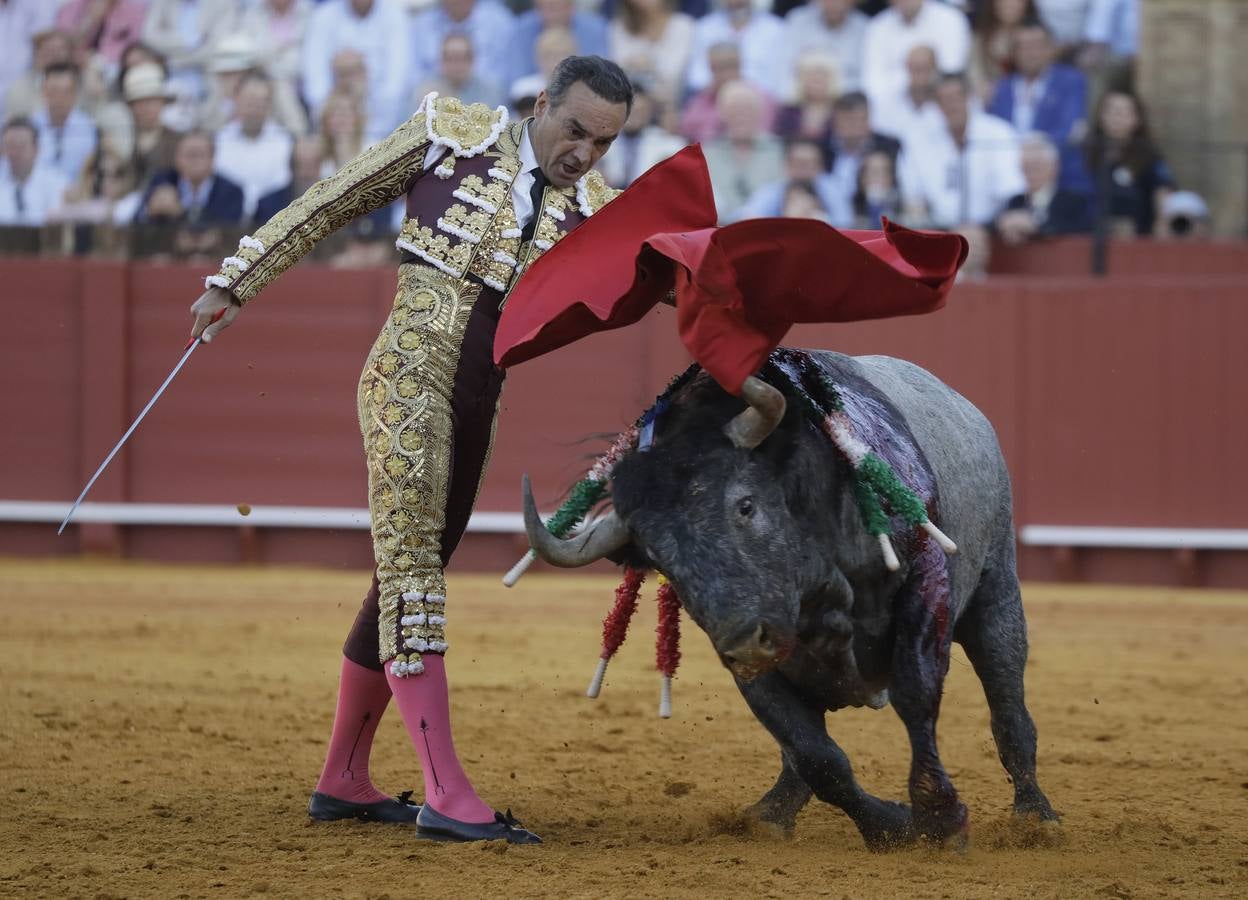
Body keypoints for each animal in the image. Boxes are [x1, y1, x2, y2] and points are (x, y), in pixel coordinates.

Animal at [521, 349, 1058, 848]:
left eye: (745, 505)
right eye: (657, 557)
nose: (746, 643)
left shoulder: (924, 583)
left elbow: (915, 694)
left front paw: (940, 819)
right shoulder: (754, 658)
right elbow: (815, 755)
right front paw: (891, 825)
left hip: (996, 595)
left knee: (1009, 707)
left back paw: (1037, 818)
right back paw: (771, 812)